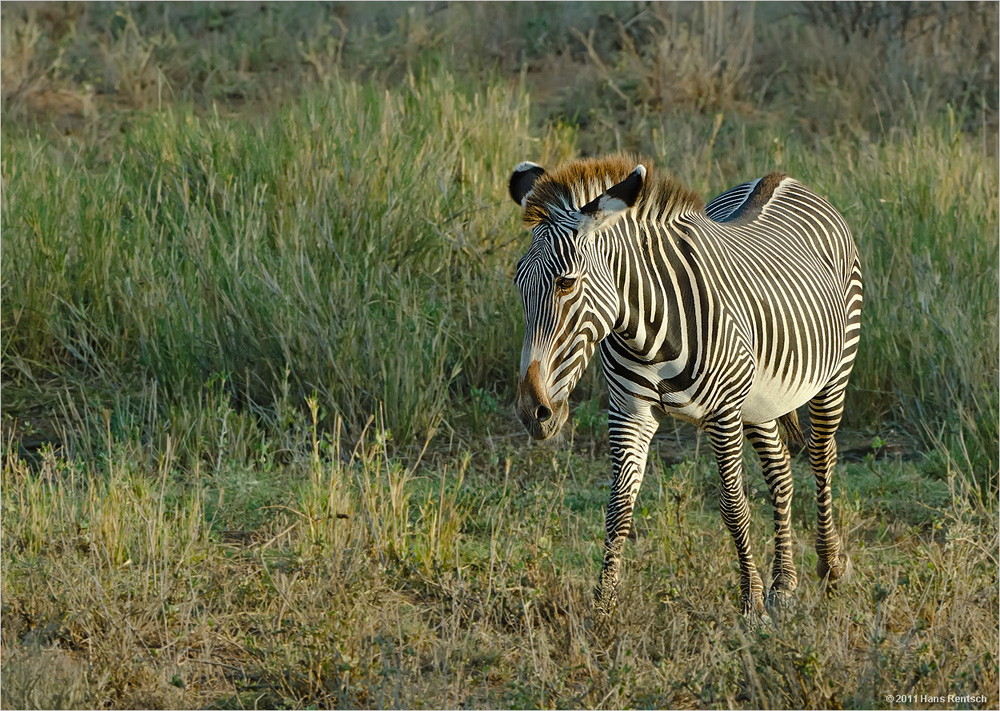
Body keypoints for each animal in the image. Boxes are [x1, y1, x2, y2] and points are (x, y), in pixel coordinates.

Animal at [508, 154, 860, 624]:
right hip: (762, 401)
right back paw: (784, 585)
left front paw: (750, 604)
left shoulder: (723, 414)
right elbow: (618, 506)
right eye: (518, 284)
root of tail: (783, 177)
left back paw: (830, 568)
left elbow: (733, 506)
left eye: (567, 283)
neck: (646, 329)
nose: (533, 411)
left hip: (833, 374)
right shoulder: (629, 411)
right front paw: (602, 609)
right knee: (781, 474)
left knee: (822, 459)